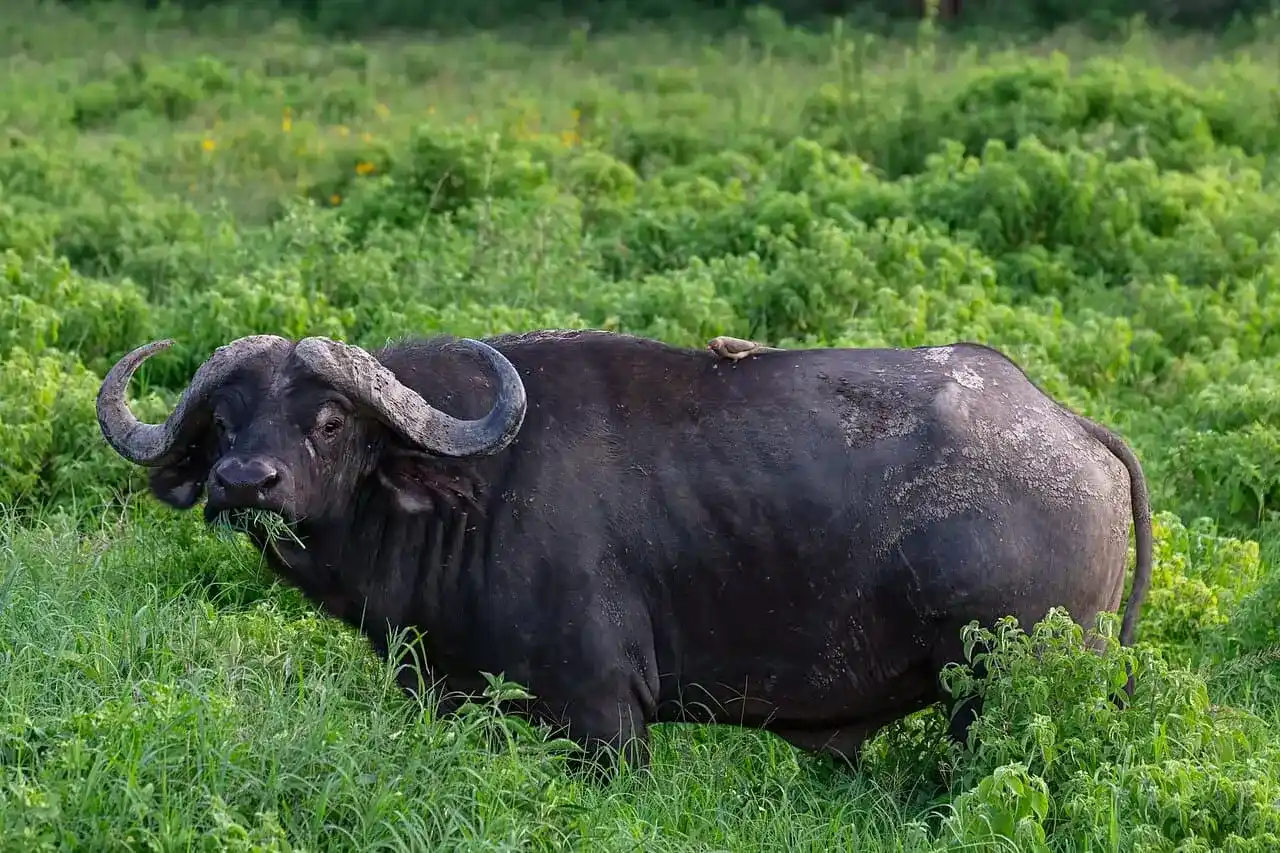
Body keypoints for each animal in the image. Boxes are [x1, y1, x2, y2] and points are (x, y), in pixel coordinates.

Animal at [96, 329, 1152, 773]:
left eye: (326, 420)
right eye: (224, 423)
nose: (244, 483)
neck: (479, 493)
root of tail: (1071, 426)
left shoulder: (605, 719)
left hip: (1006, 688)